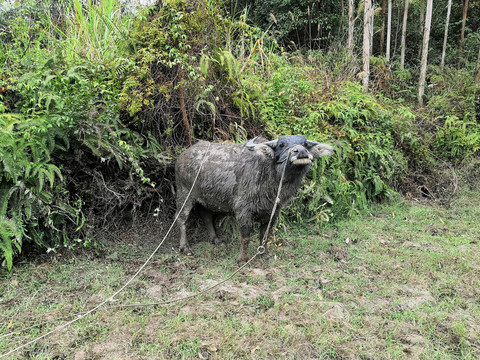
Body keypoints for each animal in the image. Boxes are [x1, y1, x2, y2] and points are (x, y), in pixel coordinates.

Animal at [174, 135, 336, 262]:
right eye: (282, 144)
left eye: (305, 144)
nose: (301, 152)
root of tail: (183, 156)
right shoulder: (243, 211)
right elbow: (245, 237)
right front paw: (243, 259)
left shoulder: (273, 211)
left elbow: (265, 235)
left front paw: (264, 254)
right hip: (184, 194)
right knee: (181, 218)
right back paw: (185, 248)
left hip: (206, 198)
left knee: (206, 215)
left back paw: (216, 240)